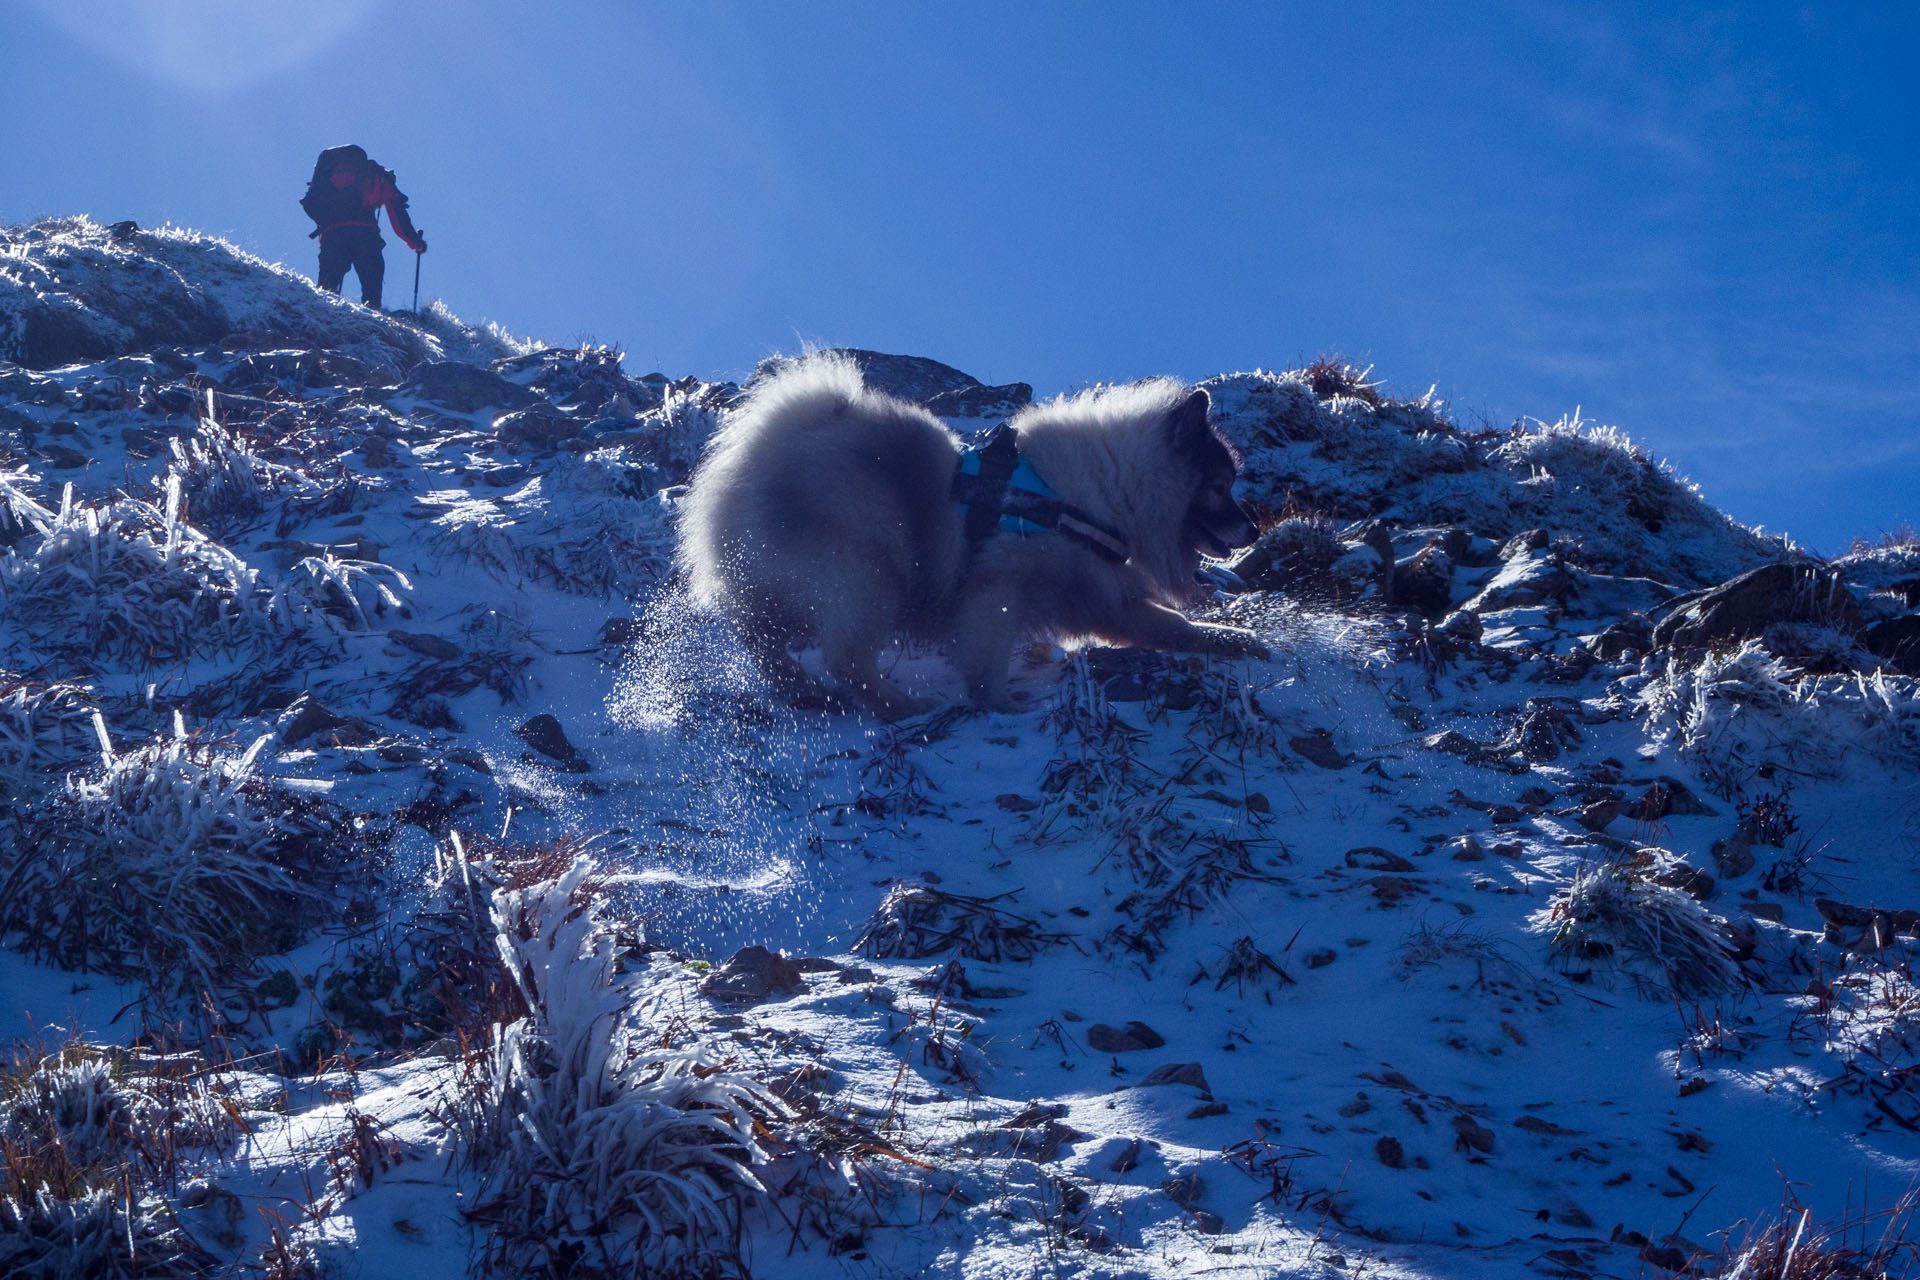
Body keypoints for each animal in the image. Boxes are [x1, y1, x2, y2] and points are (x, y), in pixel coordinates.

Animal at [675, 355, 1259, 721]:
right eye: (1219, 487)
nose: (1254, 528)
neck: (1104, 490)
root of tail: (769, 446)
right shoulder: (997, 590)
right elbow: (986, 660)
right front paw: (1004, 704)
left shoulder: (1106, 598)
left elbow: (1177, 628)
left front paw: (1240, 640)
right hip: (866, 577)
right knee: (846, 661)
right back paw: (900, 708)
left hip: (787, 589)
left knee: (762, 641)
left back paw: (805, 694)